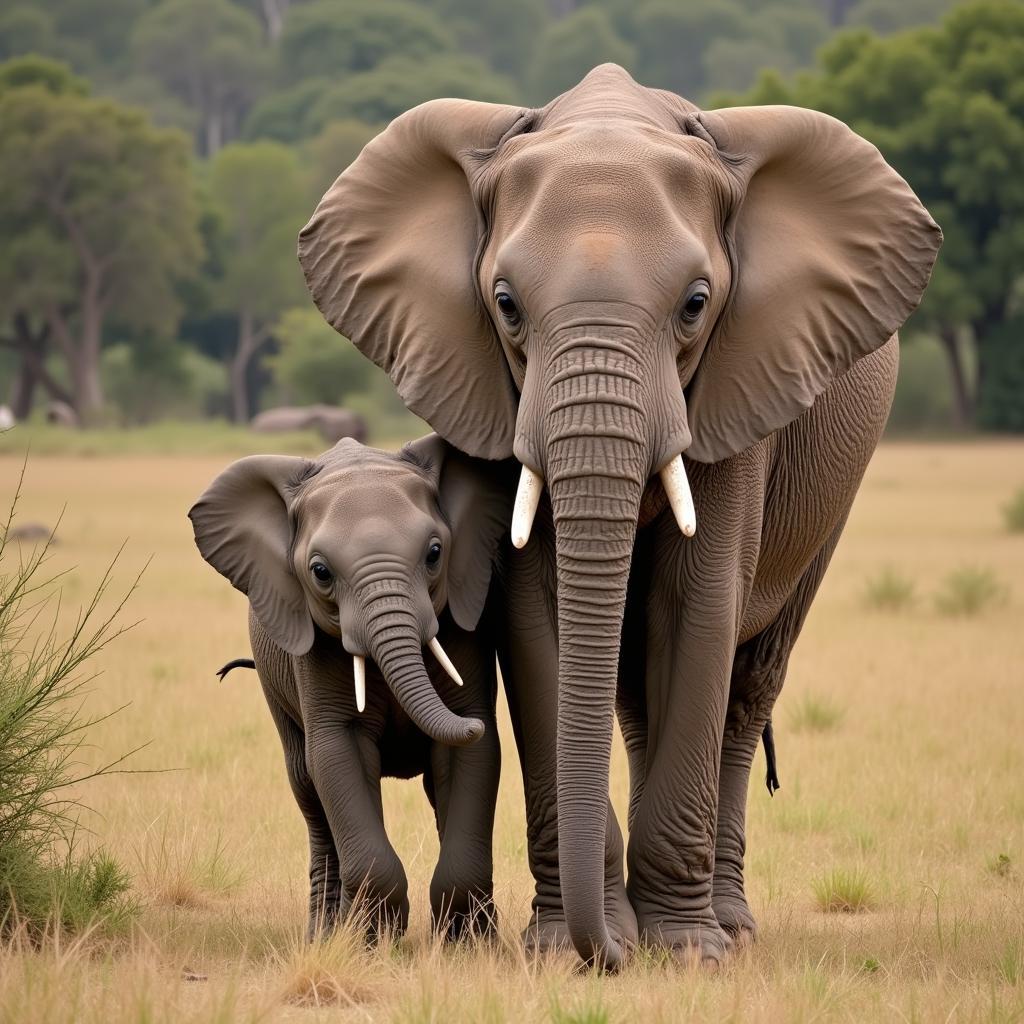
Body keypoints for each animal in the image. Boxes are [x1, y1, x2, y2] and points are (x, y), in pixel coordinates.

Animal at [187, 436, 507, 937]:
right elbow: (338, 753)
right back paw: (325, 933)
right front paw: (376, 939)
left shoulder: (464, 626)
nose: (470, 723)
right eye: (320, 572)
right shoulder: (312, 654)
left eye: (435, 554)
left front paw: (470, 944)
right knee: (308, 790)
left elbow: (470, 757)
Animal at [294, 66, 937, 966]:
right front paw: (567, 949)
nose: (609, 953)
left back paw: (732, 927)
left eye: (697, 304)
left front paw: (686, 954)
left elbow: (697, 609)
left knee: (747, 689)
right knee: (634, 698)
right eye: (505, 304)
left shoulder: (740, 386)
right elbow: (538, 620)